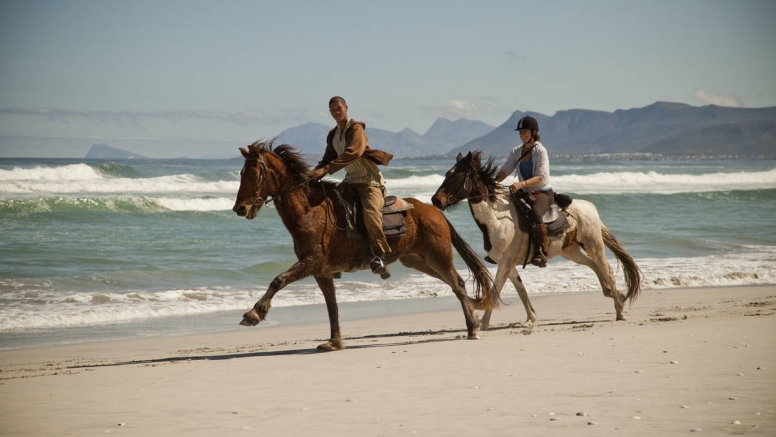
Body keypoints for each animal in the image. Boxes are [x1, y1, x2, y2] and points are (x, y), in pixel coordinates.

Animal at [230, 141, 498, 350]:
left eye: (253, 174)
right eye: (241, 174)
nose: (240, 208)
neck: (309, 211)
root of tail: (433, 210)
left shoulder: (311, 262)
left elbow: (278, 280)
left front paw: (254, 313)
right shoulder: (321, 272)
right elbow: (332, 306)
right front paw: (334, 342)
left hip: (437, 257)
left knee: (458, 283)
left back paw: (472, 328)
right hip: (418, 261)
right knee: (454, 285)